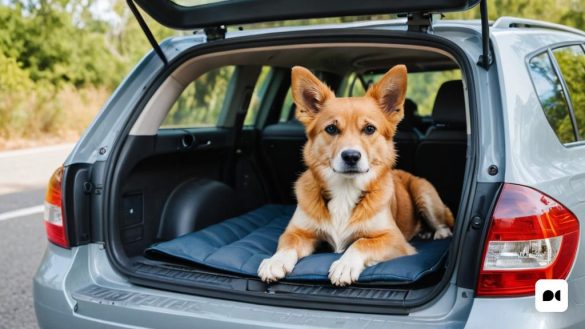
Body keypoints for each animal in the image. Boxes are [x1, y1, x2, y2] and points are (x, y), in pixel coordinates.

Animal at [258, 64, 454, 284]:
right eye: (331, 128)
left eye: (369, 129)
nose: (351, 156)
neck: (345, 189)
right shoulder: (298, 232)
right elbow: (288, 243)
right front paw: (275, 261)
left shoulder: (394, 239)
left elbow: (361, 243)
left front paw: (345, 265)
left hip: (423, 191)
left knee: (442, 221)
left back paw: (438, 233)